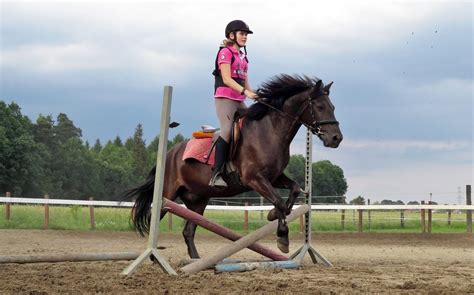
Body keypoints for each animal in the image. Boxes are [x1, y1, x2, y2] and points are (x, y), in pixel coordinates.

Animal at [124, 74, 342, 260]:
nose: (336, 138)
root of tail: (169, 153)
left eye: (333, 106)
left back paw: (195, 261)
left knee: (188, 231)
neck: (270, 131)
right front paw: (282, 237)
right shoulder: (254, 179)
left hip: (198, 199)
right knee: (156, 217)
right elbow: (279, 201)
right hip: (167, 195)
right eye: (320, 106)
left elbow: (294, 189)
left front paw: (274, 215)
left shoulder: (274, 177)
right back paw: (153, 256)